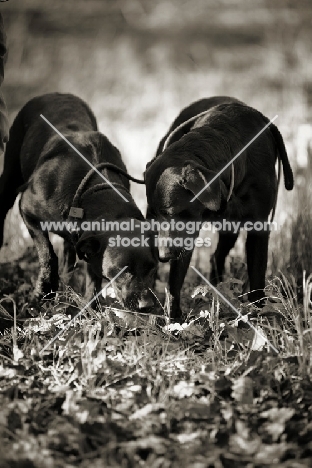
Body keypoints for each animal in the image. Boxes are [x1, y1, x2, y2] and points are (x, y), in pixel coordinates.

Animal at [0, 92, 157, 310]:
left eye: (152, 267)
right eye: (123, 271)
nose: (146, 305)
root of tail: (55, 93)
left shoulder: (91, 243)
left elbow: (93, 276)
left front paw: (89, 309)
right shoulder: (27, 209)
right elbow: (48, 254)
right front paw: (43, 292)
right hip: (10, 173)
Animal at [145, 97, 294, 320]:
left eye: (171, 214)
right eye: (155, 216)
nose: (163, 256)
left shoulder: (259, 226)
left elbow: (257, 273)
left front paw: (260, 311)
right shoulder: (186, 232)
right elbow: (175, 279)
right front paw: (173, 318)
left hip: (231, 229)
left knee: (217, 256)